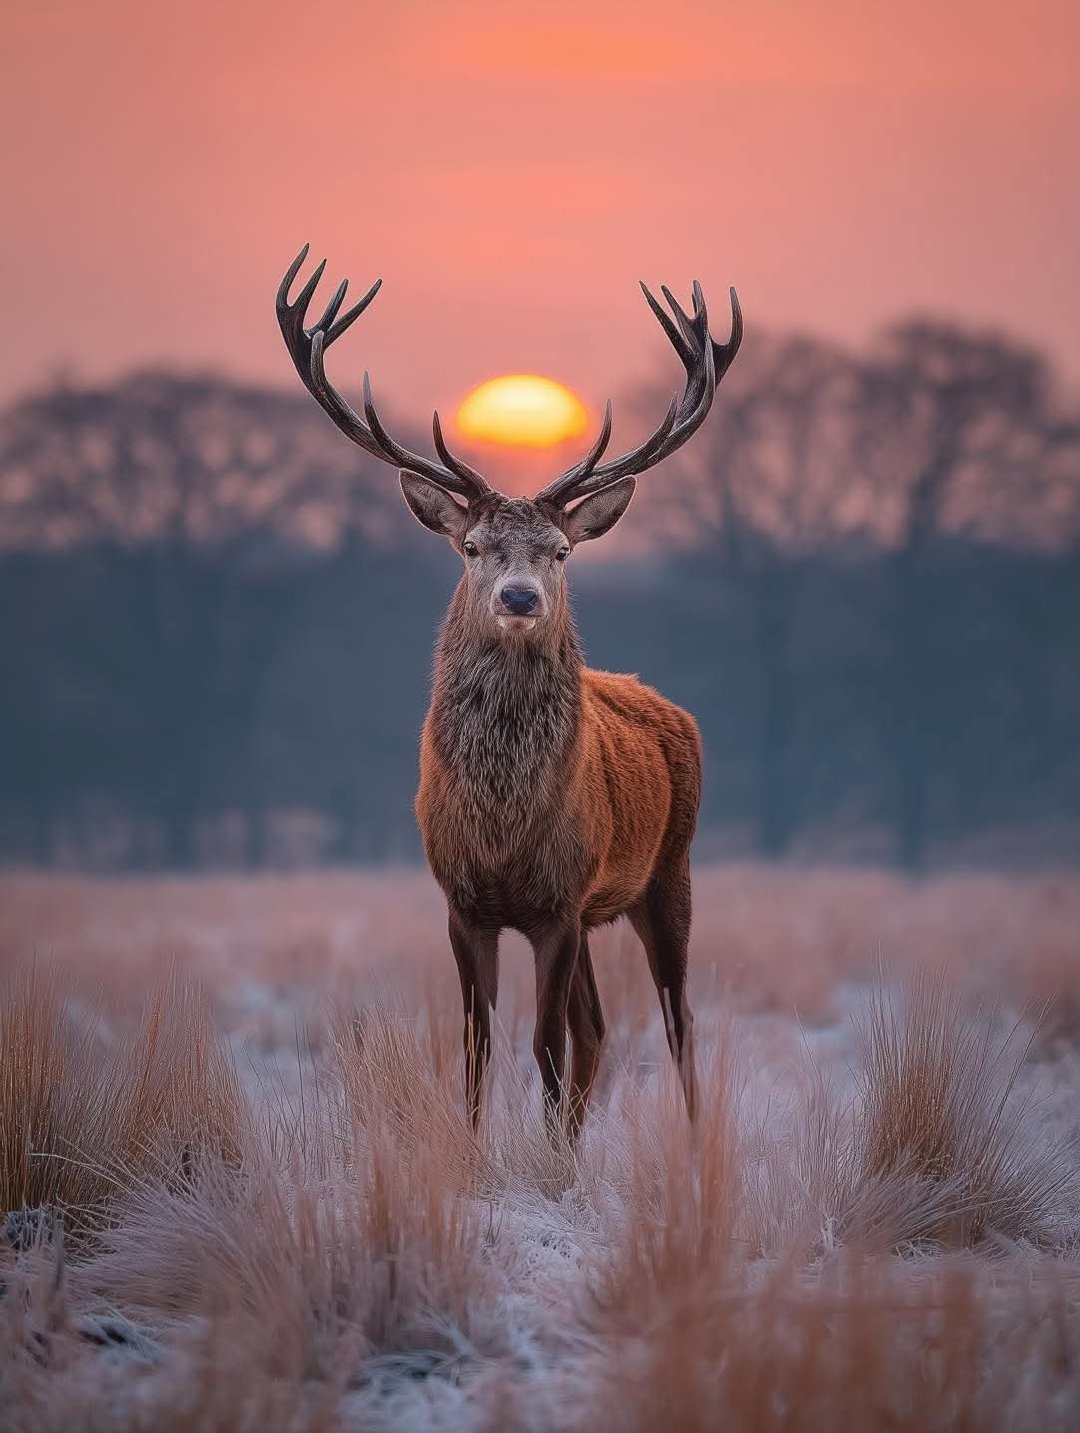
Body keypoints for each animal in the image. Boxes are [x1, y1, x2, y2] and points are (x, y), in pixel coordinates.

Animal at [276, 245, 742, 1138]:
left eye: (560, 550)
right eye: (472, 544)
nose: (520, 597)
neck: (501, 826)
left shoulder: (559, 897)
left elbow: (544, 1044)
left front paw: (545, 1158)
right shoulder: (463, 899)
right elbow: (479, 1045)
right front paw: (476, 1148)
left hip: (671, 868)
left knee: (677, 1020)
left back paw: (695, 1140)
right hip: (601, 908)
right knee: (600, 1027)